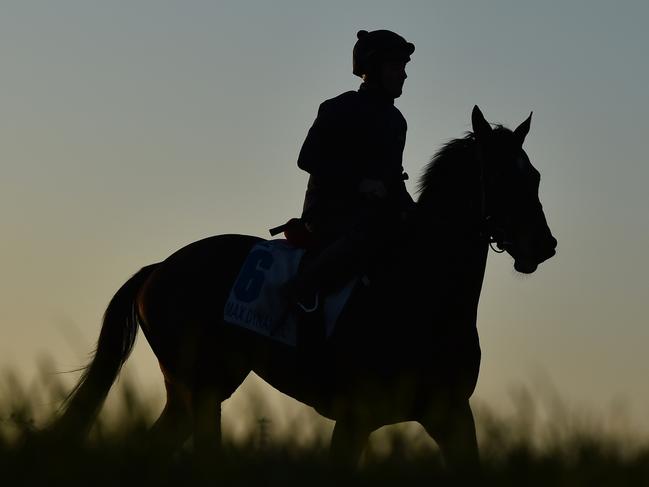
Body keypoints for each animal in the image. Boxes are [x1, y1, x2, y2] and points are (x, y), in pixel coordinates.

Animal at [52, 107, 556, 472]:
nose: (543, 245)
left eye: (533, 176)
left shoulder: (451, 414)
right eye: (500, 176)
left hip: (190, 393)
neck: (425, 295)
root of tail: (159, 268)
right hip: (204, 389)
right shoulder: (355, 418)